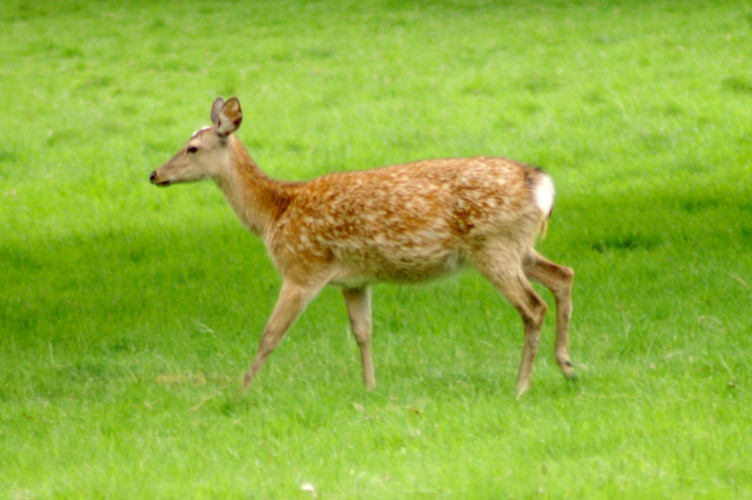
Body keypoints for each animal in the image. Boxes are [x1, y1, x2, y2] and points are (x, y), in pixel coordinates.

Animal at [149, 97, 575, 398]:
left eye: (192, 148)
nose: (154, 174)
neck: (274, 214)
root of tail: (538, 182)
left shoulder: (302, 268)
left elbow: (270, 335)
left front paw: (238, 392)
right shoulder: (354, 281)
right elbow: (363, 332)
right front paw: (370, 388)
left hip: (493, 245)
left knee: (533, 306)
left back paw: (521, 386)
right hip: (517, 245)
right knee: (563, 275)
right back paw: (567, 365)